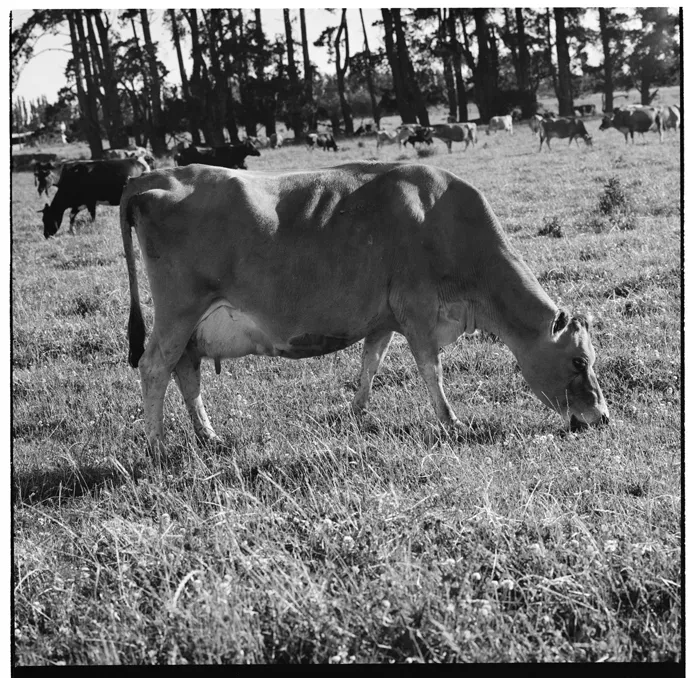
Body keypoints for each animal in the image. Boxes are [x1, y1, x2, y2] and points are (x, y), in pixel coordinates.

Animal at [120, 162, 609, 450]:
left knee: (186, 372)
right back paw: (156, 446)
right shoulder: (418, 311)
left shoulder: (384, 317)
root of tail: (152, 178)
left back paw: (208, 435)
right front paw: (451, 422)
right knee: (154, 366)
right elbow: (431, 370)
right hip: (178, 312)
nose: (602, 418)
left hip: (192, 327)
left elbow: (370, 363)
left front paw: (354, 414)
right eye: (579, 361)